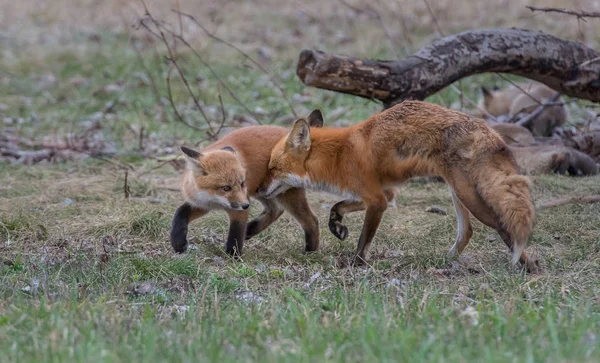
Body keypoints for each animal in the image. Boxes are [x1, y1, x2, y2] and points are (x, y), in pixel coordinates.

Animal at [171, 116, 326, 256]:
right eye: (226, 188)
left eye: (242, 183)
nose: (246, 205)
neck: (215, 200)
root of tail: (289, 133)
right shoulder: (202, 203)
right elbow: (180, 212)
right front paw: (178, 242)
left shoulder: (240, 207)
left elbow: (236, 233)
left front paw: (233, 257)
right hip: (263, 191)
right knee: (276, 210)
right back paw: (251, 229)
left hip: (284, 195)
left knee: (311, 220)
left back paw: (310, 252)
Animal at [258, 101, 540, 272]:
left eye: (272, 168)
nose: (259, 189)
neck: (339, 154)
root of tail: (484, 127)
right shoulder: (382, 192)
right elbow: (337, 207)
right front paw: (337, 227)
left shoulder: (377, 201)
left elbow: (363, 240)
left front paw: (356, 264)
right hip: (457, 191)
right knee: (466, 232)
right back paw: (446, 260)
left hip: (468, 194)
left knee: (502, 226)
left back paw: (528, 266)